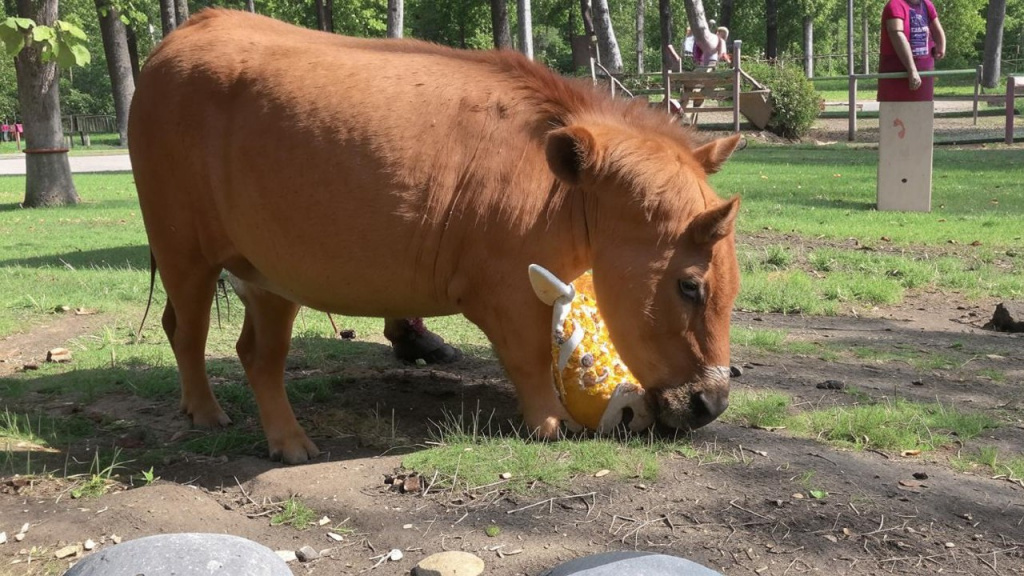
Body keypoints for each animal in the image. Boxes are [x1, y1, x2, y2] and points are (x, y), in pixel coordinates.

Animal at [128, 10, 741, 461]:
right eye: (690, 285)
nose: (712, 404)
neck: (567, 193)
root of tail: (180, 35)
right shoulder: (503, 289)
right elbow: (529, 357)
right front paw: (552, 423)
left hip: (263, 272)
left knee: (249, 350)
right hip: (182, 247)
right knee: (190, 331)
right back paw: (217, 416)